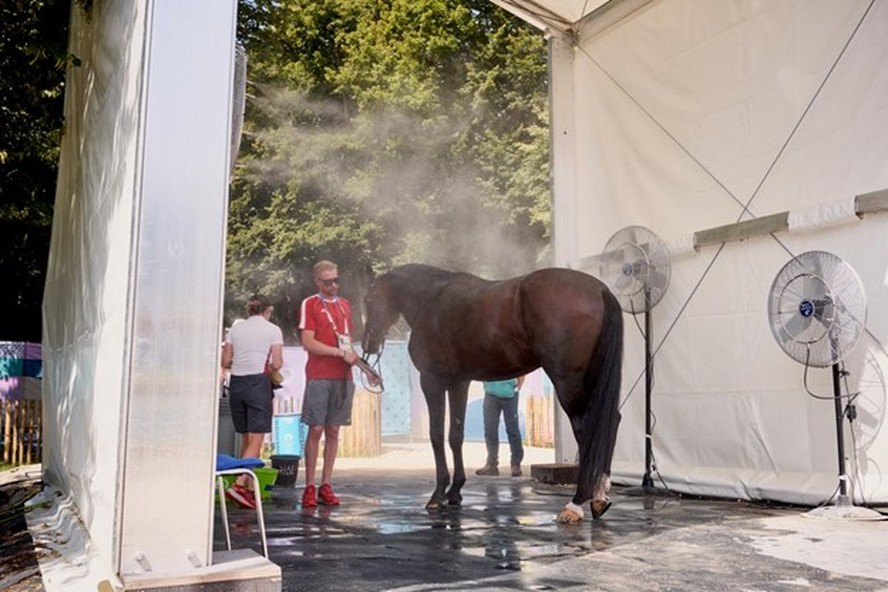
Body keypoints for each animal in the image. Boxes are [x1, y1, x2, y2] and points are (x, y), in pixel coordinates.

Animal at [360, 264, 624, 524]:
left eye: (369, 299)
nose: (366, 345)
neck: (431, 298)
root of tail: (600, 289)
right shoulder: (459, 382)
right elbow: (455, 435)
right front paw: (455, 492)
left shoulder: (432, 379)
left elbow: (436, 434)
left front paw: (437, 495)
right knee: (610, 421)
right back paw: (599, 497)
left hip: (567, 382)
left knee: (586, 427)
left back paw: (577, 504)